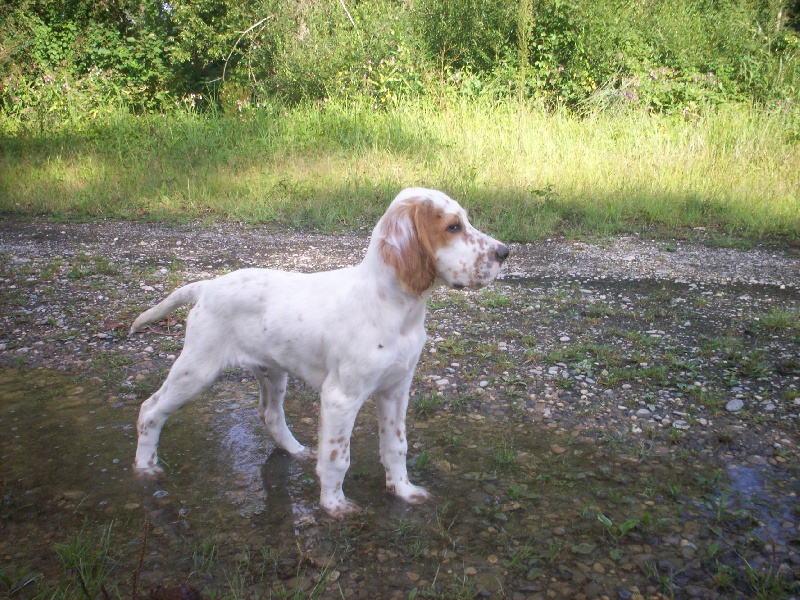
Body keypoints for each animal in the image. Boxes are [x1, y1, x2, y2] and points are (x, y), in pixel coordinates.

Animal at [130, 187, 509, 517]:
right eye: (453, 227)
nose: (504, 252)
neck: (396, 308)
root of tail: (207, 286)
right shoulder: (341, 397)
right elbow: (338, 457)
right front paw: (333, 505)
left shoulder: (396, 388)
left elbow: (396, 446)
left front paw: (403, 490)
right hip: (197, 368)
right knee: (150, 410)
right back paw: (145, 468)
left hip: (272, 370)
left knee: (270, 414)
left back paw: (296, 450)